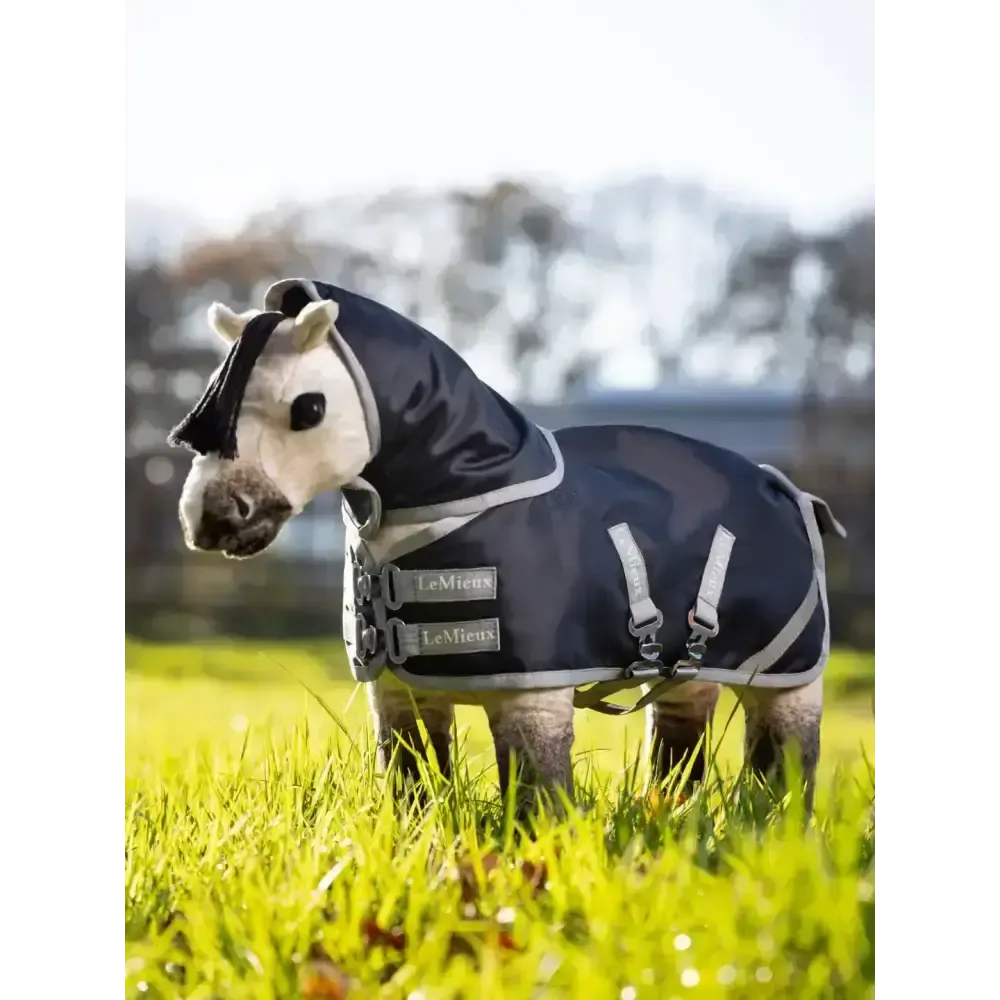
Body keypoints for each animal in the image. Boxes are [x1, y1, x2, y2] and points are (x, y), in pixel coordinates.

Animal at [169, 278, 846, 819]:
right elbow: (414, 780)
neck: (467, 500)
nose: (213, 518)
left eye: (309, 407)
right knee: (680, 745)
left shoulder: (532, 697)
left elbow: (535, 791)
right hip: (689, 674)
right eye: (214, 401)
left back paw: (774, 824)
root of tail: (786, 489)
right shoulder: (400, 692)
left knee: (786, 758)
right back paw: (668, 813)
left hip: (784, 678)